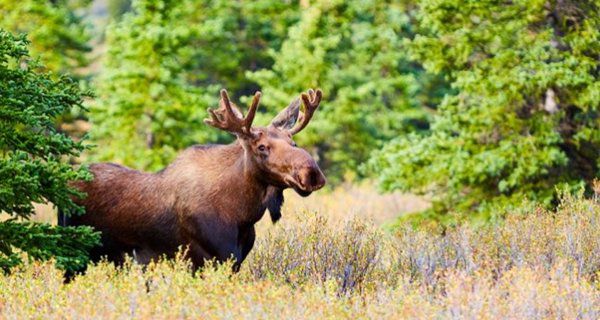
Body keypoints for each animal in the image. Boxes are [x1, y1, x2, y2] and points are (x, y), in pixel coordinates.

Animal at [58, 89, 326, 272]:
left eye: (293, 142)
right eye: (261, 147)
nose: (311, 173)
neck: (242, 214)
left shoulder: (235, 261)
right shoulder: (204, 259)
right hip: (74, 253)